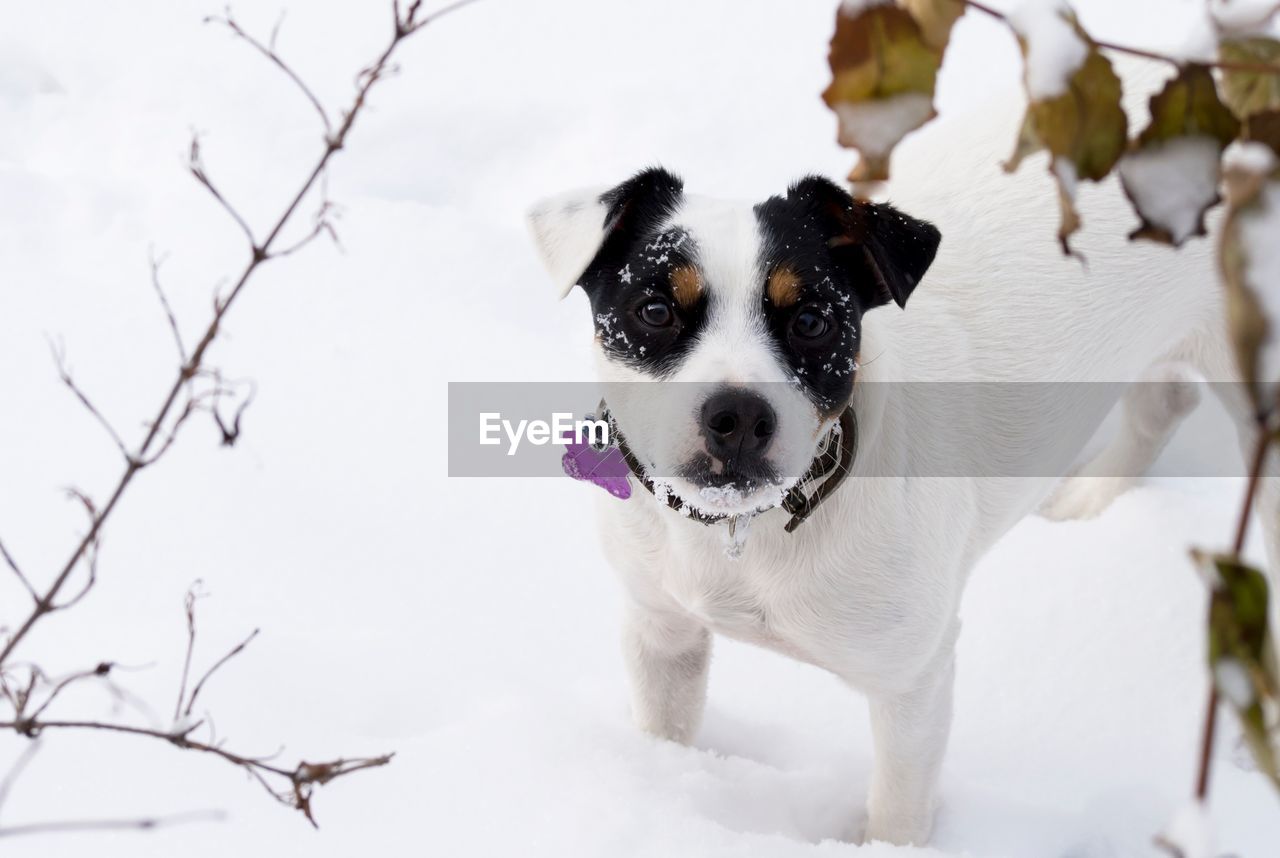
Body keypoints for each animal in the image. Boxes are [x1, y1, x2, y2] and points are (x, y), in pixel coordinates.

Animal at [522, 89, 1280, 845]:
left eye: (813, 321)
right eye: (654, 309)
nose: (737, 416)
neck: (747, 534)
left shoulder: (912, 681)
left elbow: (897, 808)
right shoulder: (661, 628)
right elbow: (666, 730)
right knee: (1165, 397)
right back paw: (1086, 501)